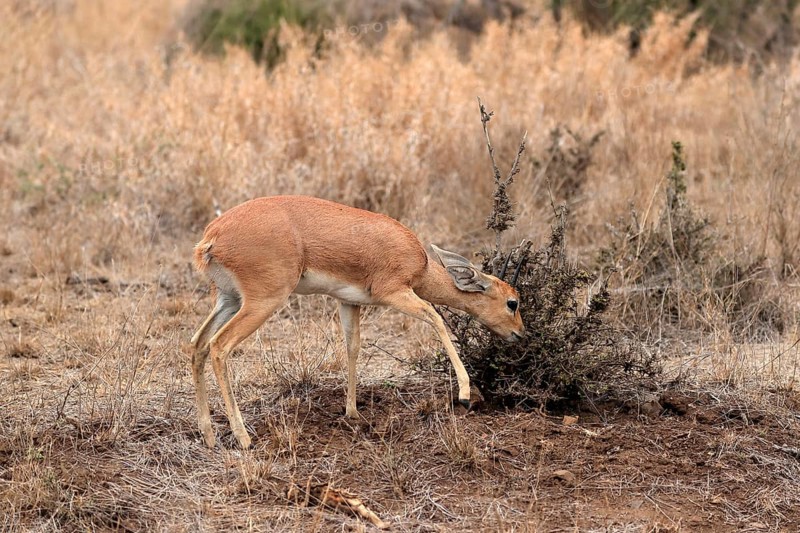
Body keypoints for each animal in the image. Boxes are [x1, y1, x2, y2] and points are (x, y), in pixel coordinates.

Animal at [190, 195, 525, 448]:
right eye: (513, 302)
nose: (520, 335)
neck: (421, 264)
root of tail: (213, 236)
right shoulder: (395, 293)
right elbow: (435, 318)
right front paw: (466, 395)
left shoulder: (348, 302)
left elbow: (353, 347)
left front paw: (352, 412)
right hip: (263, 302)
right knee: (219, 346)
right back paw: (243, 438)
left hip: (229, 299)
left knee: (197, 345)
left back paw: (209, 436)